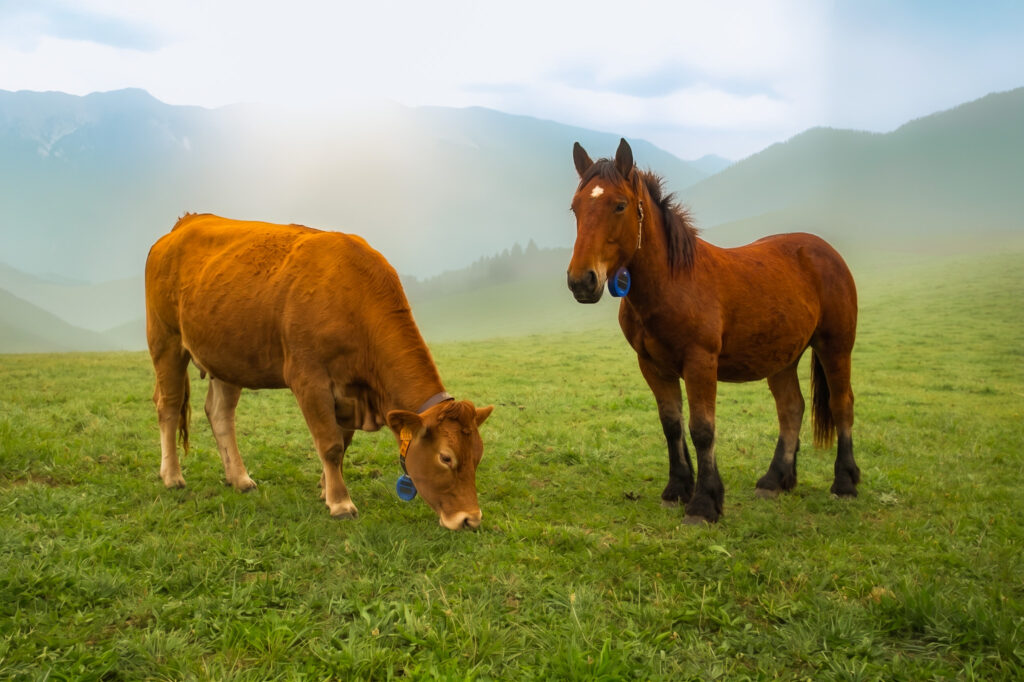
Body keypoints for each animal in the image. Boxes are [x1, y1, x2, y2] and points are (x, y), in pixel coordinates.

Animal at [144, 213, 493, 530]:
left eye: (478, 455)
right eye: (446, 458)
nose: (470, 519)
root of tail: (183, 224)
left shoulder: (350, 394)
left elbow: (344, 443)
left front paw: (326, 490)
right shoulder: (309, 379)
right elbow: (330, 444)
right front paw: (340, 503)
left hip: (227, 358)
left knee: (219, 413)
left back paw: (240, 478)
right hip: (166, 341)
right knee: (169, 407)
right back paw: (172, 476)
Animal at [566, 139, 860, 524]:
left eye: (619, 205)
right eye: (575, 208)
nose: (581, 281)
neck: (673, 282)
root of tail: (824, 251)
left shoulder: (700, 363)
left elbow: (702, 429)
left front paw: (704, 504)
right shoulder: (653, 366)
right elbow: (672, 425)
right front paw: (677, 489)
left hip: (835, 347)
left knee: (842, 404)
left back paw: (845, 483)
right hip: (783, 358)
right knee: (791, 408)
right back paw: (774, 480)